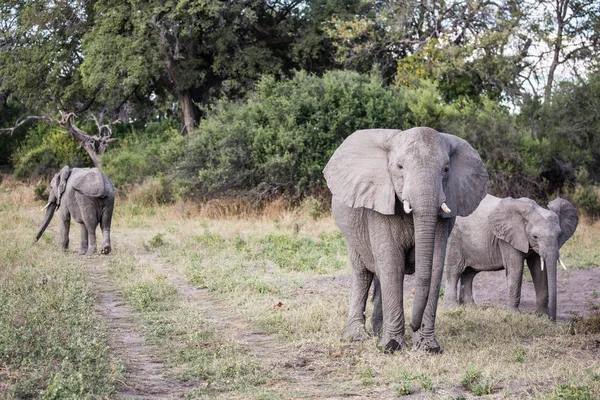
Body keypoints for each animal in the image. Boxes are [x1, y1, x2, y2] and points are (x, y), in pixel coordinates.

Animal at [324, 128, 488, 354]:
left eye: (446, 169)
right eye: (399, 167)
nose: (413, 325)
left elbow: (435, 266)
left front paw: (428, 348)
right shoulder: (379, 204)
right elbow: (392, 263)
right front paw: (391, 348)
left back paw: (377, 332)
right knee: (363, 273)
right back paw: (357, 336)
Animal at [446, 192, 576, 320]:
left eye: (559, 235)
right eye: (535, 237)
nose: (552, 319)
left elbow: (539, 271)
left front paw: (542, 316)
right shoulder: (507, 238)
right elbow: (516, 268)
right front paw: (514, 314)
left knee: (469, 273)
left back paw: (470, 307)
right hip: (454, 237)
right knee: (454, 270)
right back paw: (452, 309)